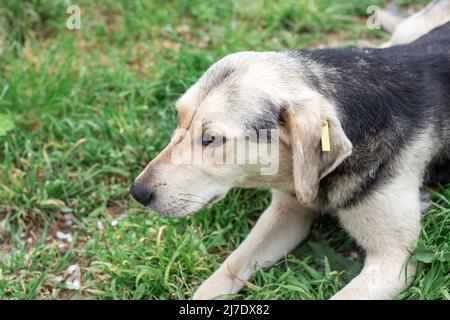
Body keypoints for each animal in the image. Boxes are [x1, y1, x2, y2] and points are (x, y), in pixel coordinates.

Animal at [130, 0, 450, 300]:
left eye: (211, 138)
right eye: (178, 118)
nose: (137, 192)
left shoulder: (396, 259)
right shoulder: (286, 211)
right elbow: (227, 270)